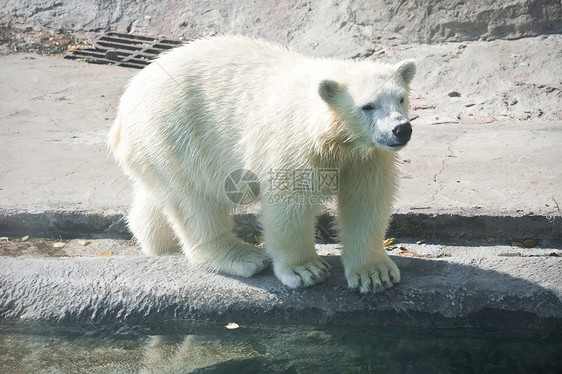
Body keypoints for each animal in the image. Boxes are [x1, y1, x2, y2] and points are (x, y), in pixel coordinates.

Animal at [107, 35, 414, 292]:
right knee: (196, 201)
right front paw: (306, 270)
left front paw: (374, 274)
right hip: (176, 133)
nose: (401, 129)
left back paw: (159, 243)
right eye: (367, 106)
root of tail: (124, 108)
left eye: (401, 98)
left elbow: (365, 200)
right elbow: (289, 204)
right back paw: (243, 256)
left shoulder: (366, 156)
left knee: (162, 195)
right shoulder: (293, 145)